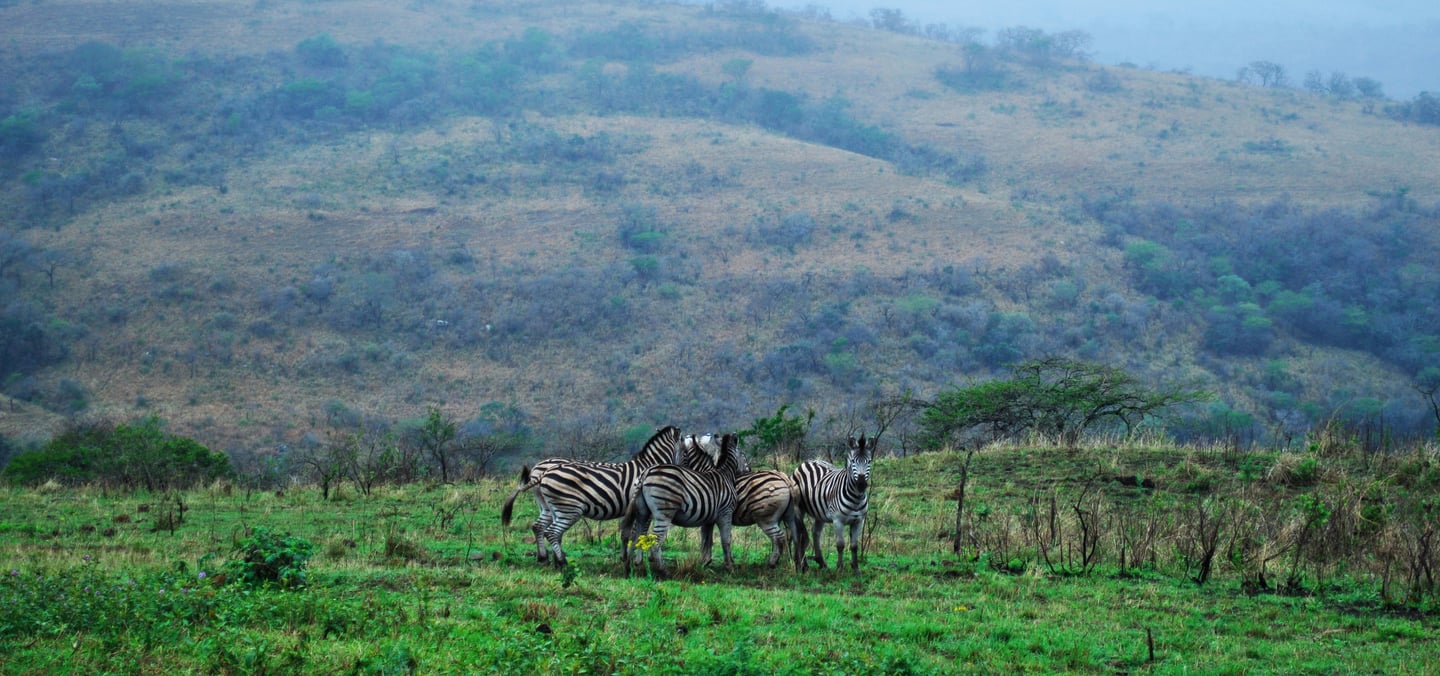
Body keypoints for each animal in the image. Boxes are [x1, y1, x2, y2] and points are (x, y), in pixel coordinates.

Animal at [500, 425, 680, 565]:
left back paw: (545, 558)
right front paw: (636, 559)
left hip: (547, 506)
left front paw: (625, 557)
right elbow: (639, 533)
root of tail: (539, 470)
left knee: (539, 527)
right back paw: (560, 561)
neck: (646, 466)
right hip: (566, 507)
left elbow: (626, 533)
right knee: (550, 531)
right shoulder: (642, 508)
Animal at [622, 433, 744, 578]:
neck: (726, 474)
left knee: (635, 536)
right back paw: (665, 571)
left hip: (642, 512)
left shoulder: (709, 519)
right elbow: (726, 540)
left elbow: (706, 541)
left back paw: (629, 568)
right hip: (664, 512)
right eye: (743, 455)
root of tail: (646, 473)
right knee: (655, 543)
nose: (749, 469)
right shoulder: (726, 513)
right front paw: (730, 567)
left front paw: (704, 564)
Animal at [793, 433, 873, 572]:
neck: (856, 499)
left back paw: (821, 562)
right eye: (853, 461)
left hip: (819, 512)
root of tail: (809, 461)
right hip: (799, 508)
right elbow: (840, 545)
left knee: (816, 533)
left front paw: (856, 569)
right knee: (800, 534)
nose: (861, 484)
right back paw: (803, 565)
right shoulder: (838, 520)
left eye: (869, 461)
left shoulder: (859, 521)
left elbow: (854, 546)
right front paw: (840, 569)